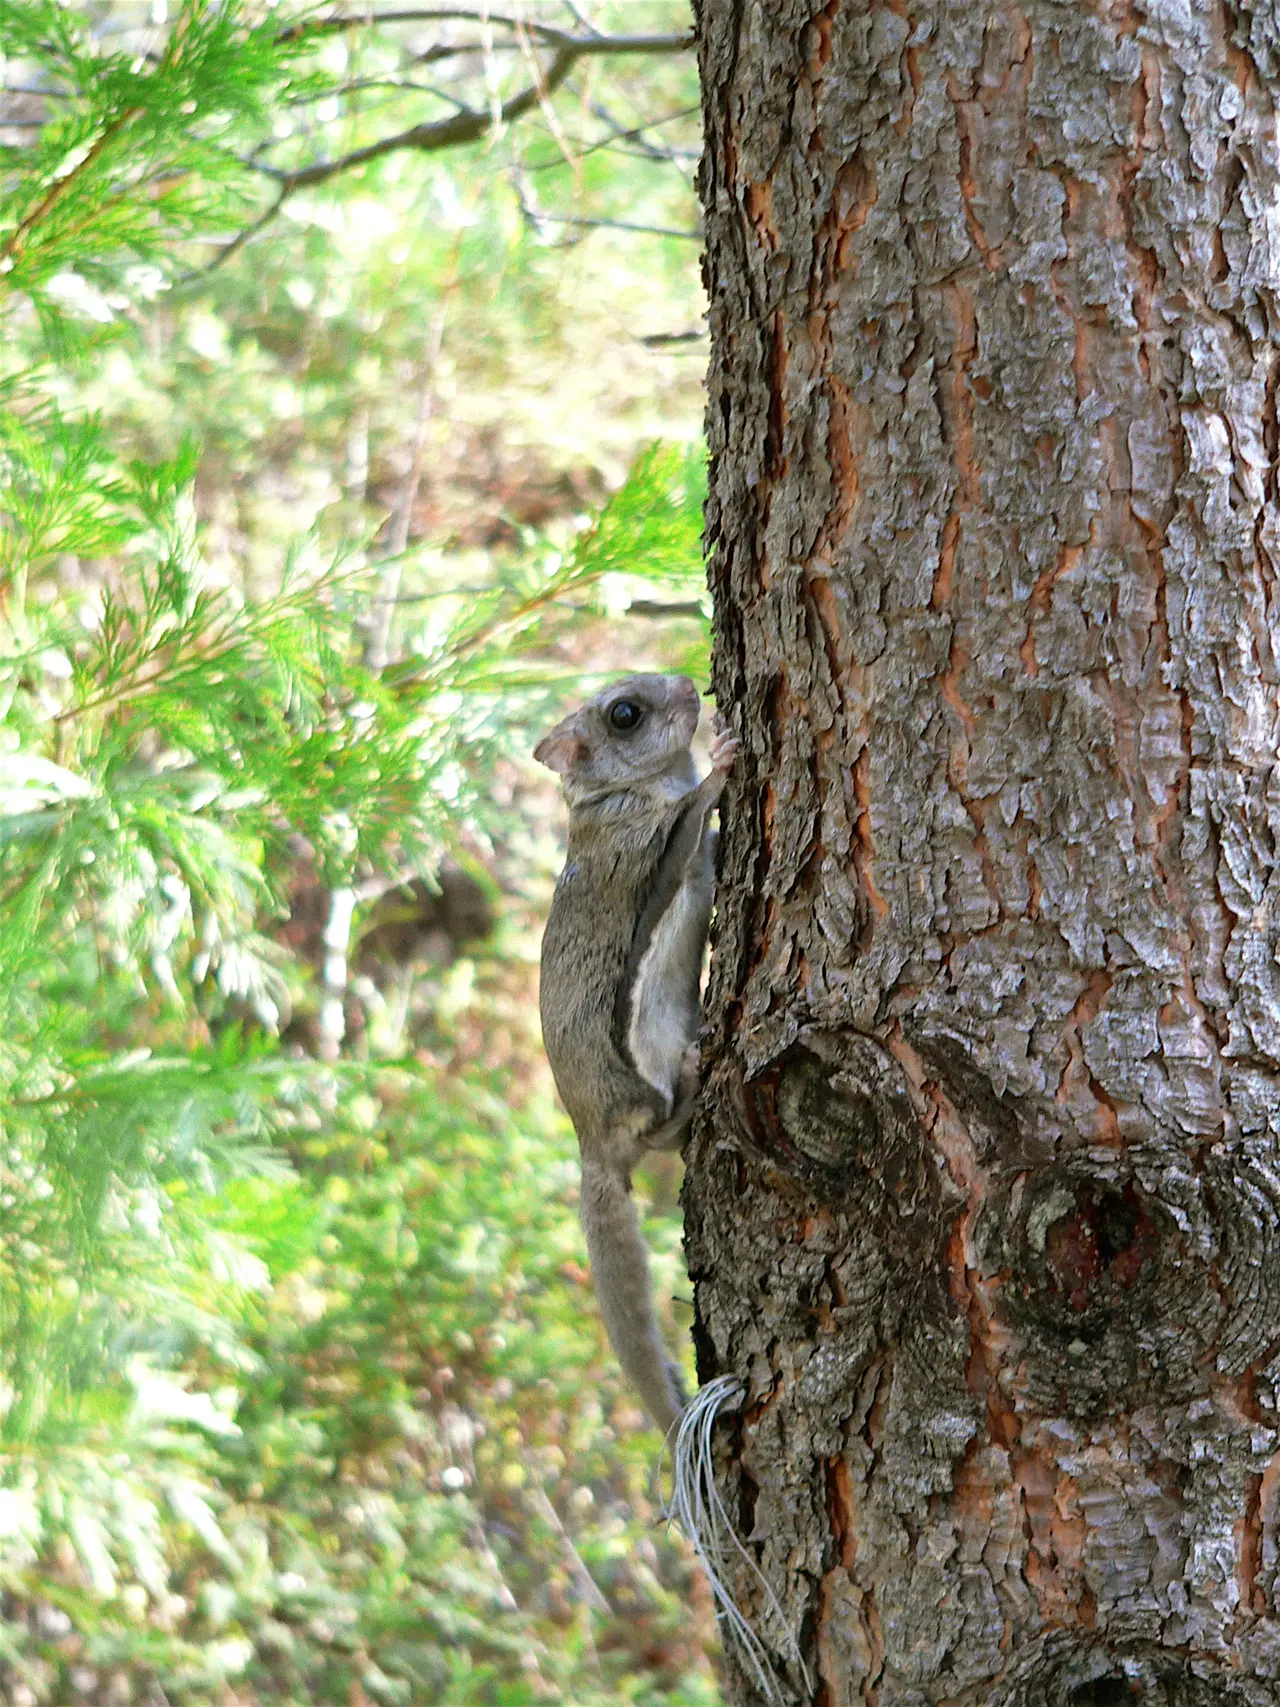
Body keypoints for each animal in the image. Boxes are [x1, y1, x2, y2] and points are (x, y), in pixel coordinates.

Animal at [534, 674, 737, 1434]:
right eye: (625, 715)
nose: (689, 683)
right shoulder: (646, 850)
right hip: (640, 1072)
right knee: (661, 1126)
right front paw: (722, 763)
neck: (611, 797)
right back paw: (690, 1077)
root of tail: (592, 1144)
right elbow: (692, 825)